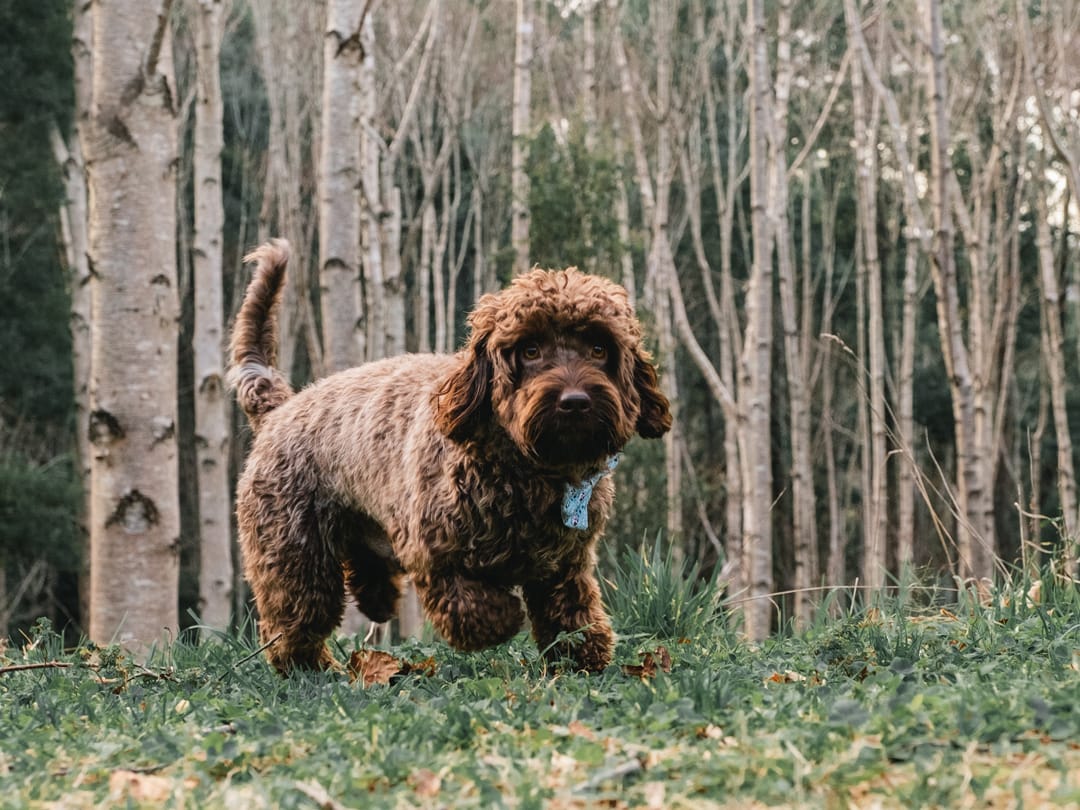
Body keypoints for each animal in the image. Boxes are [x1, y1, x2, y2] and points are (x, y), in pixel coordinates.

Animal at [230, 239, 665, 673]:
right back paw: (311, 666)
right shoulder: (434, 554)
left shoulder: (564, 563)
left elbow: (571, 614)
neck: (530, 471)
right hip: (294, 550)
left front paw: (580, 656)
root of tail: (280, 408)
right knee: (297, 619)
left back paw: (376, 599)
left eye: (599, 348)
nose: (575, 402)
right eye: (530, 350)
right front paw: (508, 617)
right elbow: (479, 610)